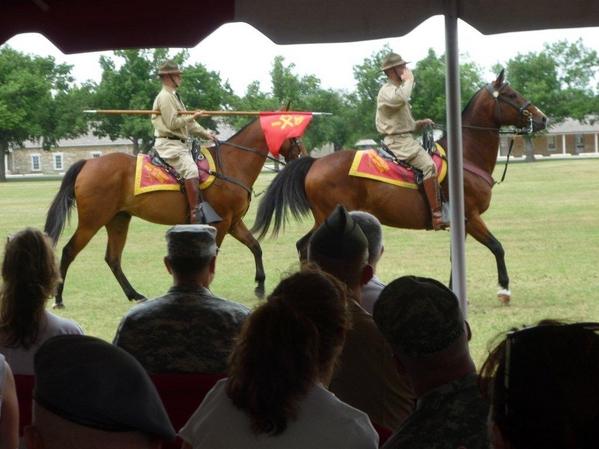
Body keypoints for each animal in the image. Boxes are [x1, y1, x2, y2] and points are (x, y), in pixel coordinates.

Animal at [46, 117, 308, 308]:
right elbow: (215, 255)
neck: (232, 164)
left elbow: (255, 246)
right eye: (293, 135)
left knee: (113, 258)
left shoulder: (234, 223)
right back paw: (59, 298)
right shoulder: (222, 224)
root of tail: (88, 163)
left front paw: (260, 286)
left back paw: (134, 294)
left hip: (118, 220)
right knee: (69, 252)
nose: (305, 158)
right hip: (92, 221)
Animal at [252, 71, 548, 300]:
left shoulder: (462, 223)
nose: (542, 118)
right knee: (308, 247)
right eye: (511, 95)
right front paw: (504, 289)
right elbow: (497, 246)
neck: (464, 156)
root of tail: (315, 162)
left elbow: (457, 258)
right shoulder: (471, 217)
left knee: (303, 246)